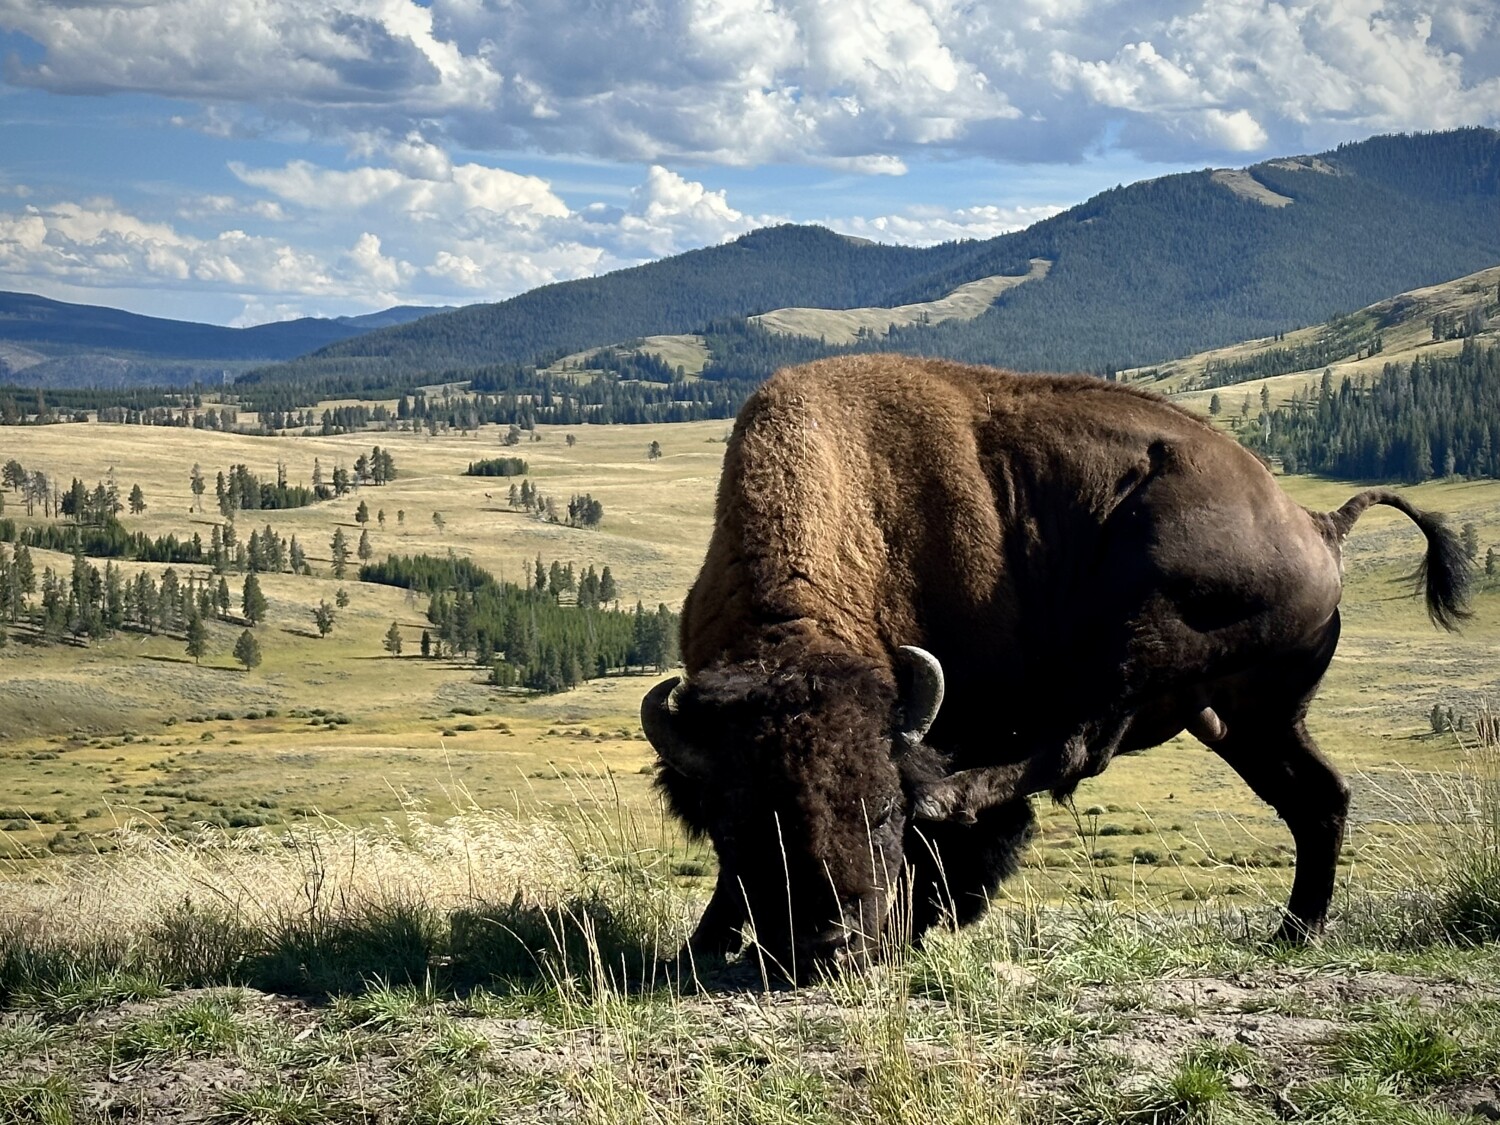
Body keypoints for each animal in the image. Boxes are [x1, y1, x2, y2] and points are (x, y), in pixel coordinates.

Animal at [641, 354, 1471, 980]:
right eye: (741, 827)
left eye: (880, 810)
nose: (830, 945)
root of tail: (1315, 524)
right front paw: (704, 940)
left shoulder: (961, 712)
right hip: (1249, 718)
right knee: (1315, 798)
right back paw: (1295, 932)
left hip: (1148, 621)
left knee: (1084, 744)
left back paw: (951, 796)